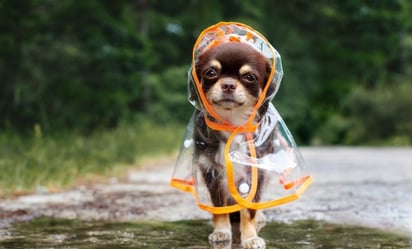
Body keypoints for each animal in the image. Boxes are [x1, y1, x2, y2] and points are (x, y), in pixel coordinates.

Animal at [192, 41, 276, 248]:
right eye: (211, 73)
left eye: (249, 77)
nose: (228, 84)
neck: (232, 124)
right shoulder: (212, 172)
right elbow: (220, 207)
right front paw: (221, 231)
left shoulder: (255, 173)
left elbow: (249, 210)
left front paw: (251, 237)